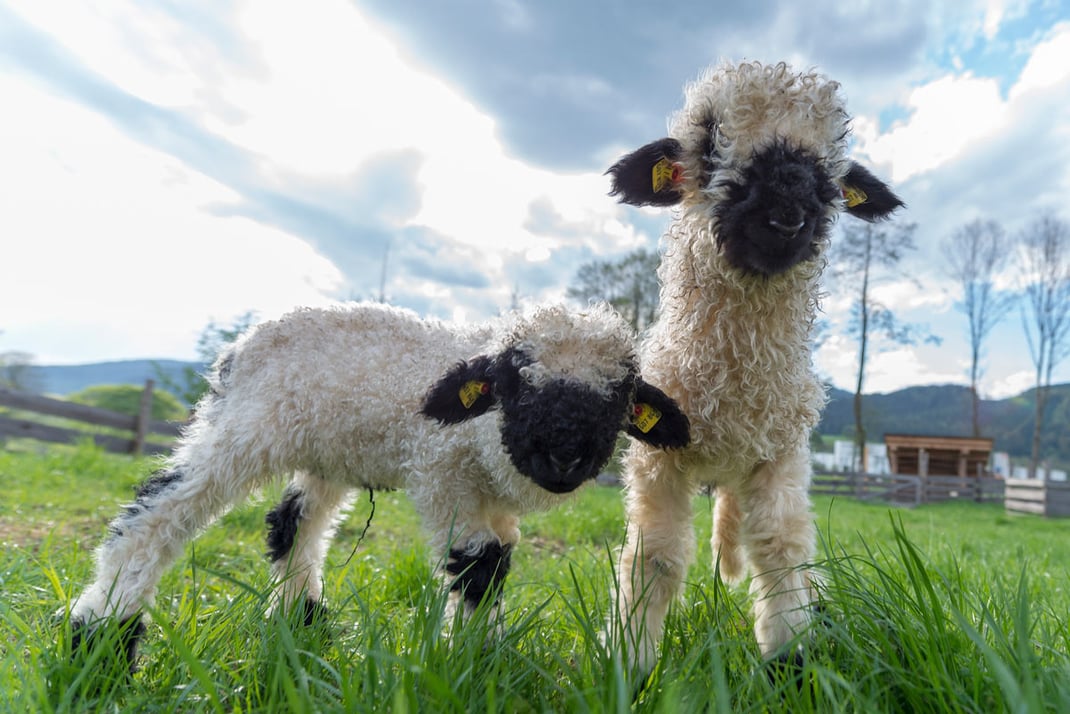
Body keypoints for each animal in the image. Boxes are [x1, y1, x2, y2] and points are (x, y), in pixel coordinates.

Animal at [62, 301, 690, 667]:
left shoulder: (491, 495)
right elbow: (480, 565)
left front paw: (480, 653)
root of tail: (236, 352)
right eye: (513, 377)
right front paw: (475, 664)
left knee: (293, 523)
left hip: (326, 451)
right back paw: (100, 637)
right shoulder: (440, 473)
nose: (564, 458)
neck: (486, 432)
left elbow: (500, 557)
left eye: (622, 391)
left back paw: (301, 623)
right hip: (245, 429)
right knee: (157, 509)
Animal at [603, 60, 904, 675]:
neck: (734, 386)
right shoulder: (657, 458)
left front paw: (790, 656)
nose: (788, 214)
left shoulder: (780, 450)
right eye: (709, 138)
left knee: (735, 526)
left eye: (833, 157)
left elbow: (781, 546)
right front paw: (630, 664)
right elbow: (656, 555)